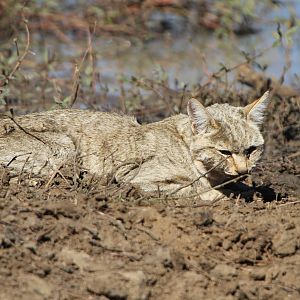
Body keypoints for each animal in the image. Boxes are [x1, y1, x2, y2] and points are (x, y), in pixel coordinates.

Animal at [0, 91, 270, 199]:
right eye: (224, 152)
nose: (243, 170)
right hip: (65, 146)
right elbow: (197, 190)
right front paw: (225, 196)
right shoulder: (133, 178)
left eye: (251, 150)